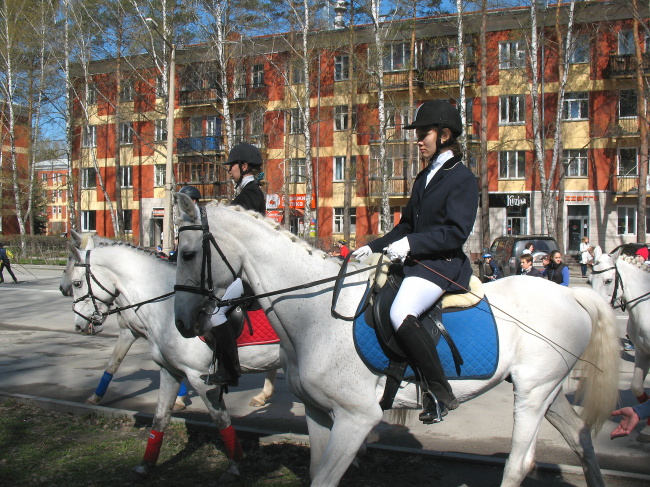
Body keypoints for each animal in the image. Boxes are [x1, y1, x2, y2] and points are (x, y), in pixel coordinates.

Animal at [60, 238, 280, 482]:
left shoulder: (199, 378)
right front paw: (145, 465)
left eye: (77, 283)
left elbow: (222, 421)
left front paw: (234, 464)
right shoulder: (169, 371)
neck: (166, 307)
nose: (80, 325)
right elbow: (160, 417)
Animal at [175, 197, 620, 487]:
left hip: (533, 392)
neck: (315, 315)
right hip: (548, 391)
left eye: (187, 253)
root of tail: (572, 294)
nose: (182, 321)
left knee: (518, 463)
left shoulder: (356, 418)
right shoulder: (318, 414)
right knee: (581, 439)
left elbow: (326, 479)